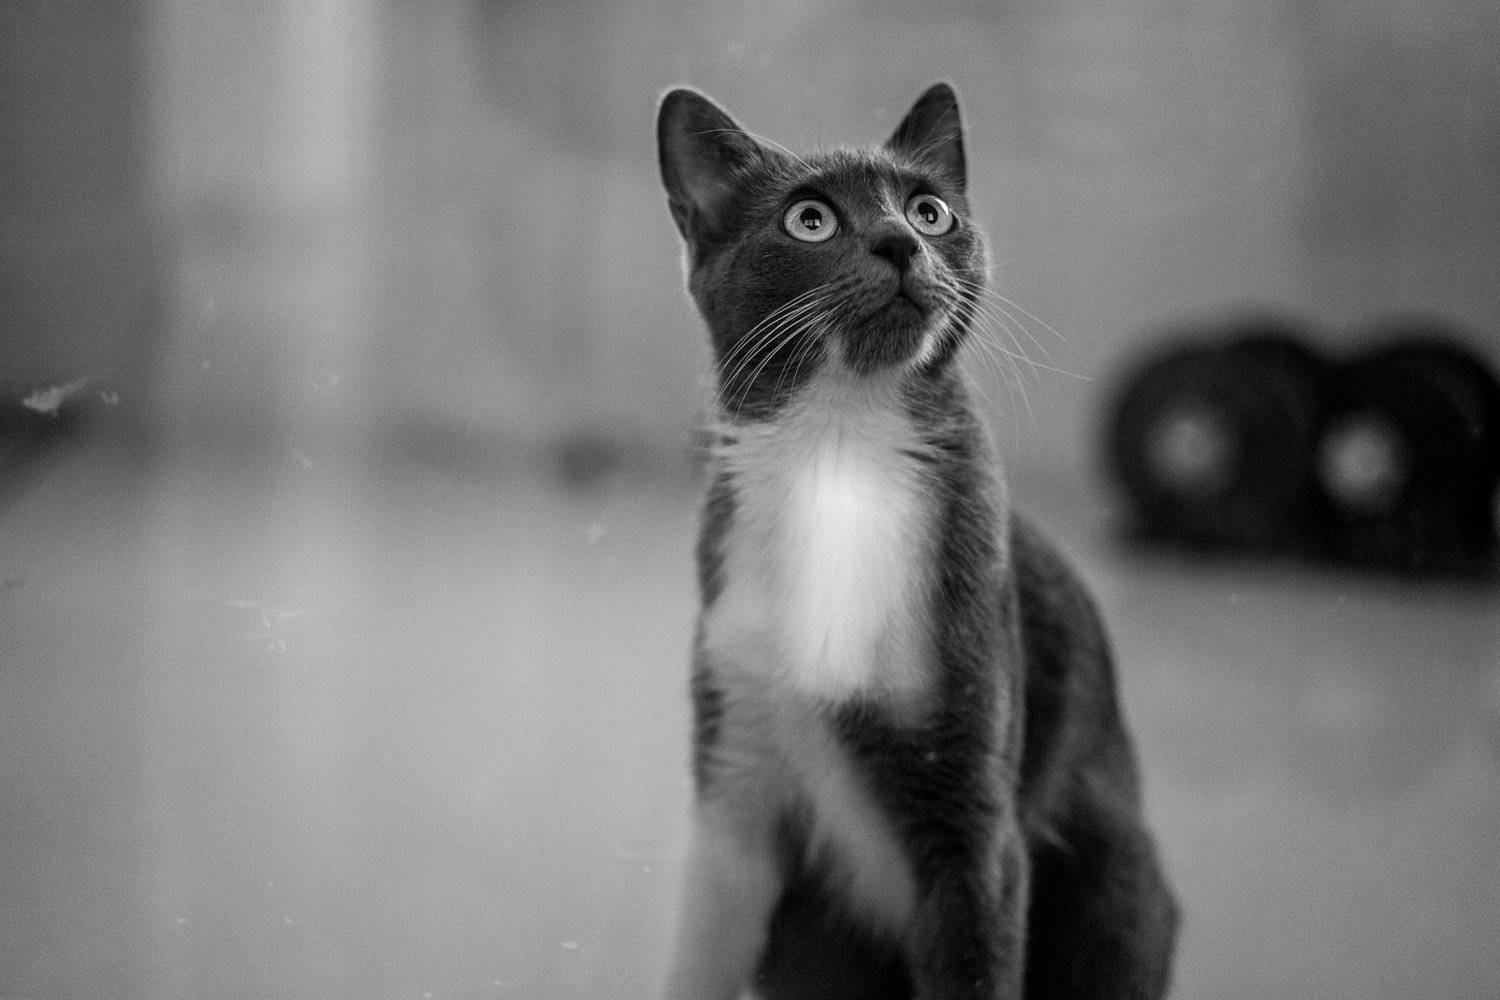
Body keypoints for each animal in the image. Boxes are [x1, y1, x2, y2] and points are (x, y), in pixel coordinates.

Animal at [656, 82, 1179, 1000]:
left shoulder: (974, 831)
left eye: (930, 211)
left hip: (1117, 880)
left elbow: (974, 966)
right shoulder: (733, 795)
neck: (839, 457)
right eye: (810, 220)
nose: (900, 241)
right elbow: (699, 960)